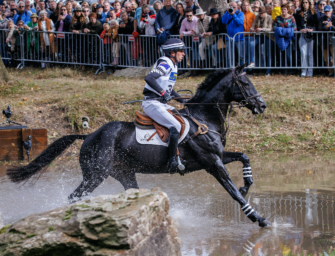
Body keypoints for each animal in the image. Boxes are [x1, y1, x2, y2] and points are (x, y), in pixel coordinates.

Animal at [6, 64, 272, 228]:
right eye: (245, 84)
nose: (262, 106)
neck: (203, 117)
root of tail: (89, 135)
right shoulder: (213, 163)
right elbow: (233, 192)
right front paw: (259, 219)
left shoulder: (217, 157)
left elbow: (244, 157)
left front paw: (247, 184)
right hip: (95, 174)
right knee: (74, 196)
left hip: (124, 173)